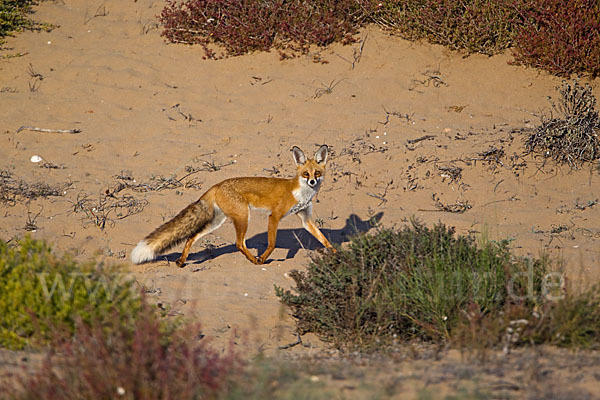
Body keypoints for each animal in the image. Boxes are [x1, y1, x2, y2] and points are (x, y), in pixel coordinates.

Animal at [131, 145, 336, 268]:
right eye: (306, 174)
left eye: (317, 173)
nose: (312, 182)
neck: (300, 192)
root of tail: (217, 185)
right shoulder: (275, 216)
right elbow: (271, 243)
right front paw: (263, 258)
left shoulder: (305, 218)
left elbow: (325, 240)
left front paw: (337, 254)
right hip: (243, 217)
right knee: (239, 243)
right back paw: (254, 260)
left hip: (217, 222)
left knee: (191, 237)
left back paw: (182, 261)